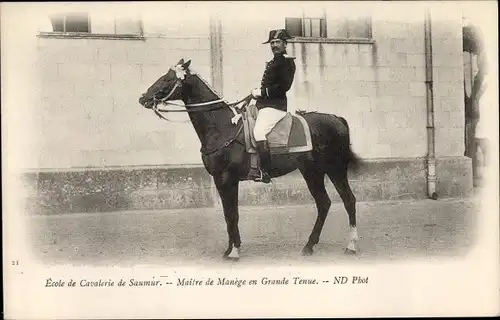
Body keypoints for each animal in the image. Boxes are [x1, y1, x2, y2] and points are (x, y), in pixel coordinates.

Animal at [139, 59, 362, 260]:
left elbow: (233, 214)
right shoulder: (221, 181)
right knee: (324, 203)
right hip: (312, 172)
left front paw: (234, 251)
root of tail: (336, 119)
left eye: (168, 79)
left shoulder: (227, 179)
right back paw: (309, 246)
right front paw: (230, 249)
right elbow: (228, 214)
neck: (223, 127)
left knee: (348, 200)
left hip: (335, 169)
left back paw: (351, 245)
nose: (143, 98)